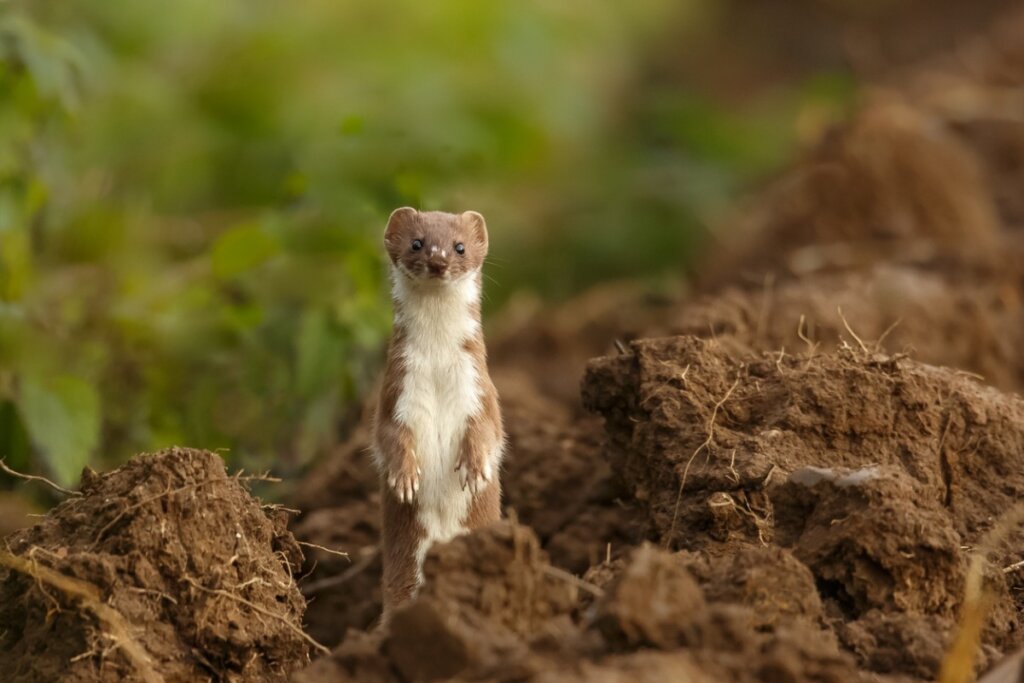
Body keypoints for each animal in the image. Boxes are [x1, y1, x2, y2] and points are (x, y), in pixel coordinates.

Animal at [374, 205, 505, 618]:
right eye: (417, 242)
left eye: (459, 246)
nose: (438, 260)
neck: (436, 362)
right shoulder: (396, 390)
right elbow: (389, 434)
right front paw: (404, 477)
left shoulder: (479, 387)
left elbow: (488, 428)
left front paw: (475, 467)